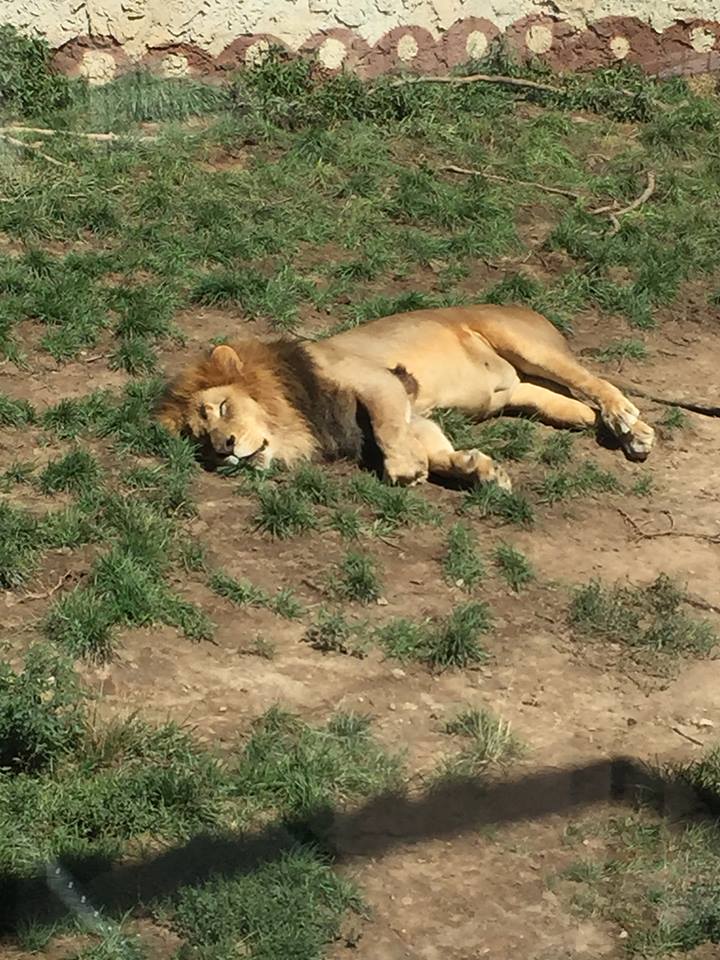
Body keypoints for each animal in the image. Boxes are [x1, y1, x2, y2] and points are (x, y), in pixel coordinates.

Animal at [155, 304, 655, 490]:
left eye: (222, 408)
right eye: (201, 439)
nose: (224, 448)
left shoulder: (382, 382)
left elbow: (387, 427)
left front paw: (404, 470)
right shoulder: (418, 415)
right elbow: (430, 444)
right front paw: (476, 468)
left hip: (523, 342)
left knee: (594, 381)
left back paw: (631, 427)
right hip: (517, 390)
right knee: (561, 398)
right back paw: (591, 421)